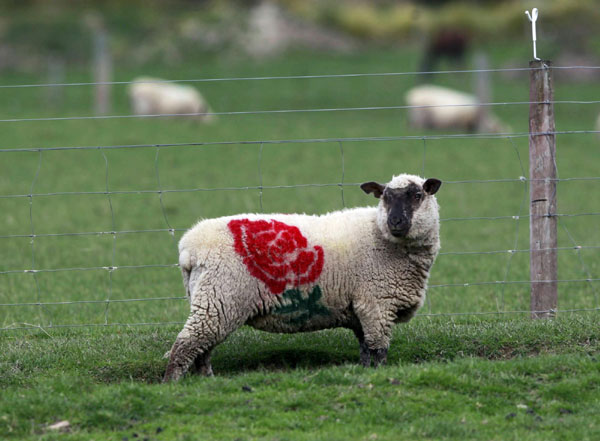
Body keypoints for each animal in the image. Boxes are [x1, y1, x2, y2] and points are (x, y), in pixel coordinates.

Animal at [162, 174, 442, 380]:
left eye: (418, 195)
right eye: (385, 197)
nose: (395, 221)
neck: (380, 236)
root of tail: (189, 247)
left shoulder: (361, 308)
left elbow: (365, 349)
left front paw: (364, 372)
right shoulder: (376, 304)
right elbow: (378, 349)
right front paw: (379, 375)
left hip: (208, 298)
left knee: (202, 347)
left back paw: (206, 380)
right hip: (220, 298)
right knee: (187, 343)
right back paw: (172, 383)